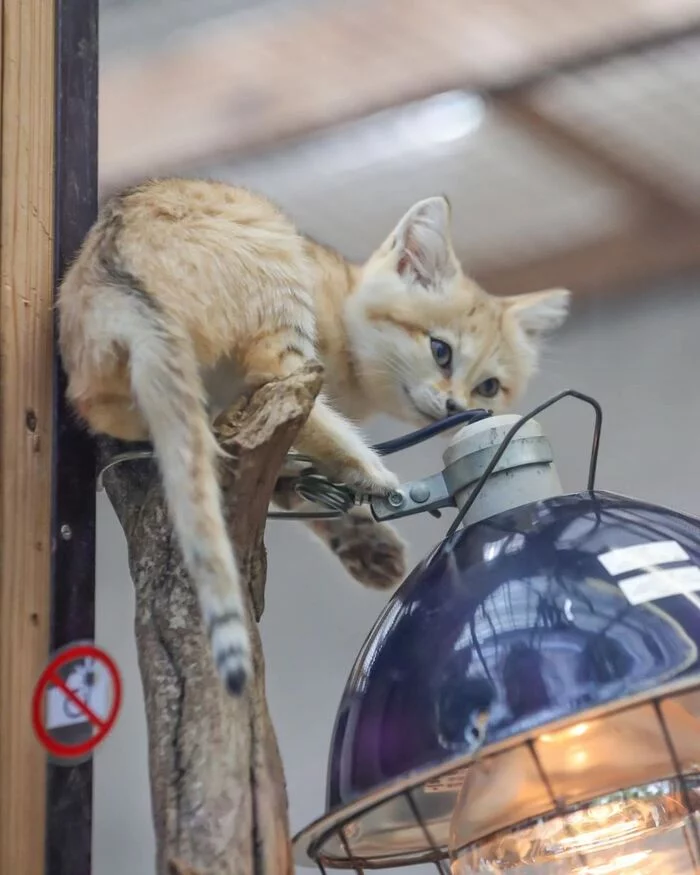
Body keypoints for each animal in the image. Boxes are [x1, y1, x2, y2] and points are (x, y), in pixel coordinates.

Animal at [57, 180, 572, 700]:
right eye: (441, 351)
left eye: (489, 387)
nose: (454, 407)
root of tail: (111, 263)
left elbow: (292, 490)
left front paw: (361, 539)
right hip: (276, 266)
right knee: (271, 374)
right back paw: (367, 467)